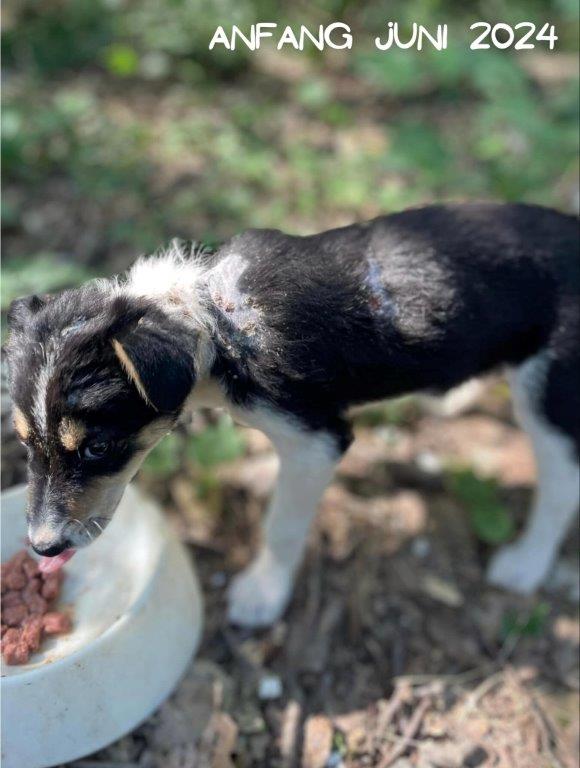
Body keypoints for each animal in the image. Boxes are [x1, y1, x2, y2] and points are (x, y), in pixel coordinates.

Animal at [6, 203, 579, 627]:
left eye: (99, 447)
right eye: (26, 444)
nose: (42, 547)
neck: (214, 321)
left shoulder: (315, 441)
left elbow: (281, 524)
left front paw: (262, 595)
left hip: (548, 394)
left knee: (561, 485)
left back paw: (526, 564)